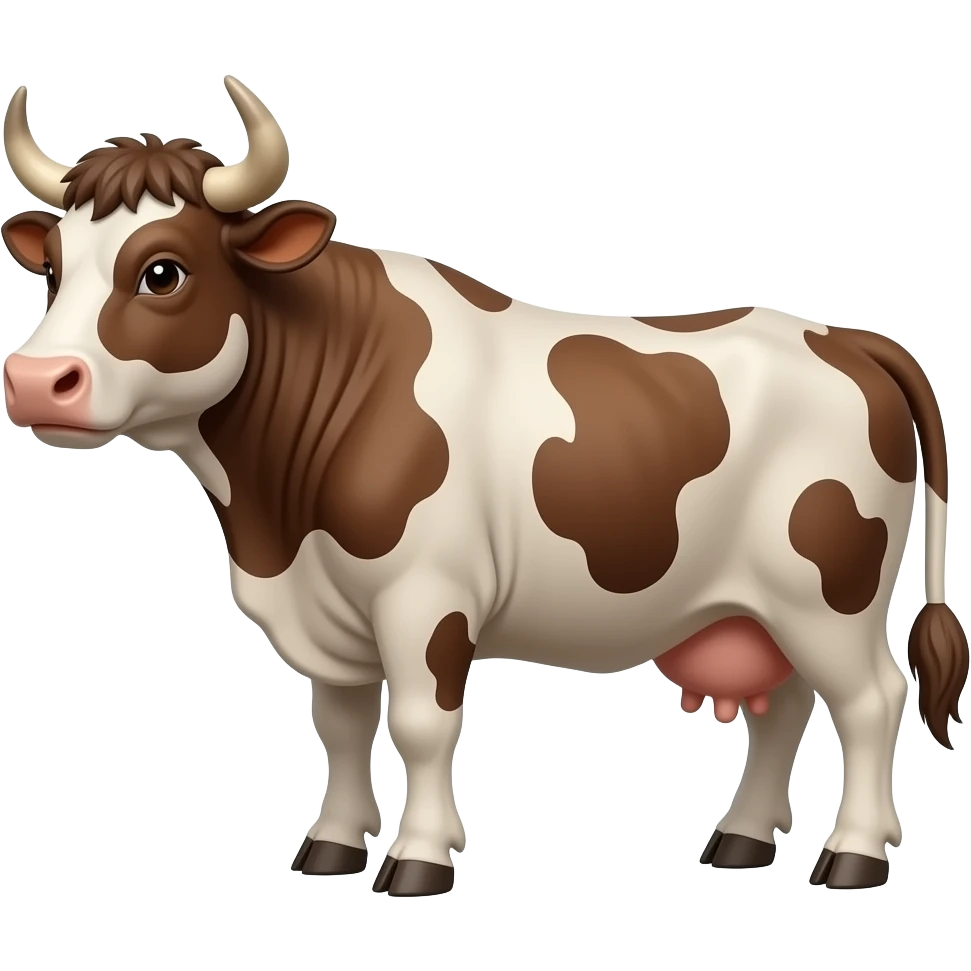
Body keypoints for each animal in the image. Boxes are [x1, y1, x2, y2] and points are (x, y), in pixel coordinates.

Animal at [2, 77, 967, 898]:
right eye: (53, 269)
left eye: (162, 270)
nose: (36, 380)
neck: (273, 519)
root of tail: (845, 336)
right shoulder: (331, 610)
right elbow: (340, 724)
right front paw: (331, 845)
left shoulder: (424, 597)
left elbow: (421, 723)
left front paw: (418, 860)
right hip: (760, 605)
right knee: (787, 707)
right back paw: (739, 840)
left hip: (831, 593)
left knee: (871, 701)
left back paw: (850, 856)